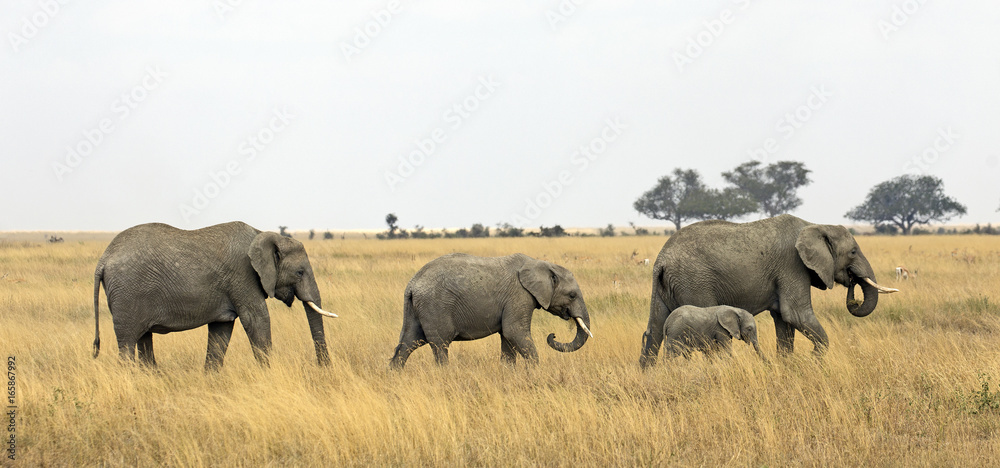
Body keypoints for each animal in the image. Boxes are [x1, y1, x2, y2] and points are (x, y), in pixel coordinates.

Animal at [92, 222, 338, 369]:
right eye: (300, 272)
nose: (323, 369)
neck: (262, 234)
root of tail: (103, 259)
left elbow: (221, 331)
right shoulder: (243, 276)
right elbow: (256, 319)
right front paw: (269, 375)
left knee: (144, 339)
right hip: (128, 295)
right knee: (127, 343)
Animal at [389, 253, 592, 368]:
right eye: (572, 295)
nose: (553, 335)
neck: (540, 264)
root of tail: (412, 284)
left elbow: (508, 339)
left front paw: (508, 374)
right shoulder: (519, 295)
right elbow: (514, 332)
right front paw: (534, 372)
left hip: (416, 308)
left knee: (409, 342)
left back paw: (394, 375)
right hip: (435, 306)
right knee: (440, 345)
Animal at [639, 214, 897, 368]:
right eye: (853, 252)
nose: (853, 292)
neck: (816, 225)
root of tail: (661, 260)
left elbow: (784, 320)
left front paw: (787, 366)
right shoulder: (792, 264)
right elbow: (796, 314)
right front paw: (815, 361)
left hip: (666, 285)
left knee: (655, 330)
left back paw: (650, 375)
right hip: (693, 281)